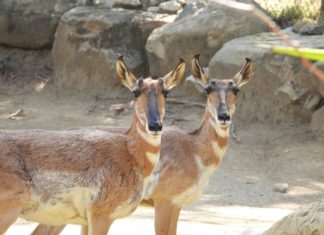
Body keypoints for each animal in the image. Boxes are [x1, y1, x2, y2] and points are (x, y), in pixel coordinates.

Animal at [0, 56, 185, 234]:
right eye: (135, 92)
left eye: (166, 92)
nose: (155, 125)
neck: (129, 153)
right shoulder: (101, 216)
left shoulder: (86, 221)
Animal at [31, 55, 252, 235]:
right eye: (208, 89)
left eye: (236, 89)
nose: (224, 116)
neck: (194, 149)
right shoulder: (164, 201)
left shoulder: (177, 205)